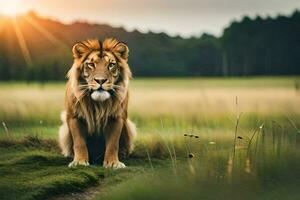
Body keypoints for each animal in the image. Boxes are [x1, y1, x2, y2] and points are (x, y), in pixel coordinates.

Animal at [57, 38, 137, 169]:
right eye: (91, 64)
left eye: (111, 65)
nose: (100, 80)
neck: (98, 104)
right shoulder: (74, 117)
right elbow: (79, 142)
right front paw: (79, 161)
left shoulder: (116, 117)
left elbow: (113, 143)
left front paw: (113, 163)